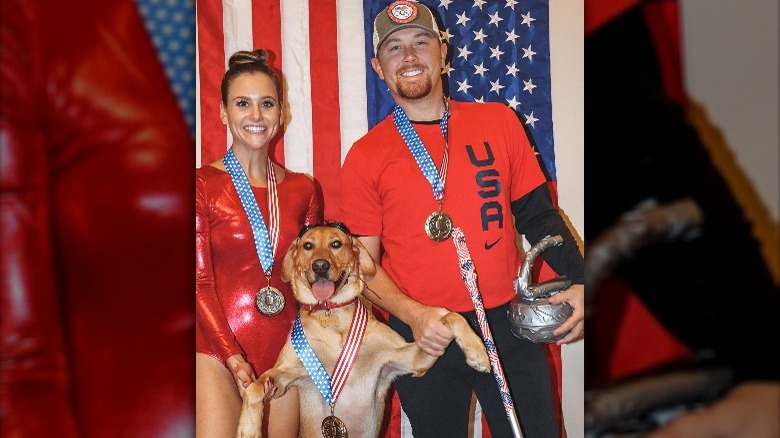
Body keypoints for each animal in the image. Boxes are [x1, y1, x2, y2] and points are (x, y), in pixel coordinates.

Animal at [235, 224, 488, 438]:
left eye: (336, 244)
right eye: (308, 246)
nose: (320, 266)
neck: (332, 316)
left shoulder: (408, 360)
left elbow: (451, 316)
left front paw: (479, 352)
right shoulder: (286, 374)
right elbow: (254, 387)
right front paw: (248, 428)